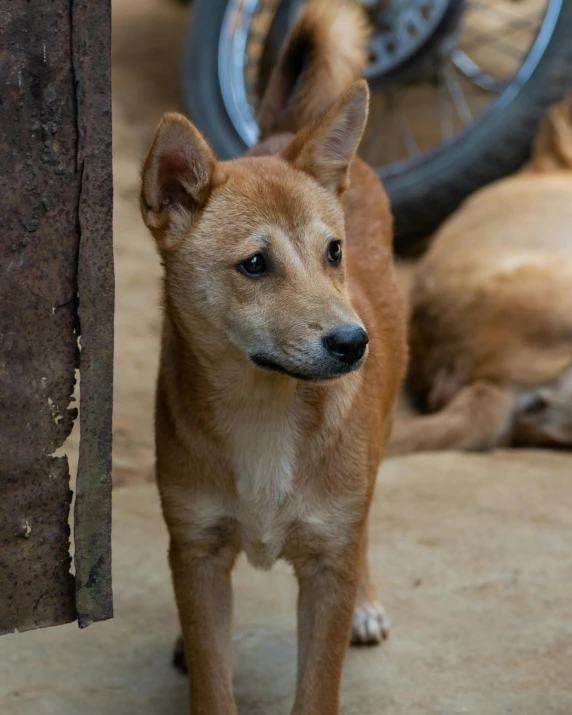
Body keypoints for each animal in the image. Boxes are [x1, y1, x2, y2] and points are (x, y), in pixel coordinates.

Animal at [139, 2, 406, 712]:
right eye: (255, 265)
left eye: (334, 252)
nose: (353, 343)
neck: (265, 411)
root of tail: (281, 131)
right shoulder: (195, 550)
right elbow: (212, 678)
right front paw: (198, 655)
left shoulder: (327, 568)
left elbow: (317, 687)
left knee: (365, 526)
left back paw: (368, 599)